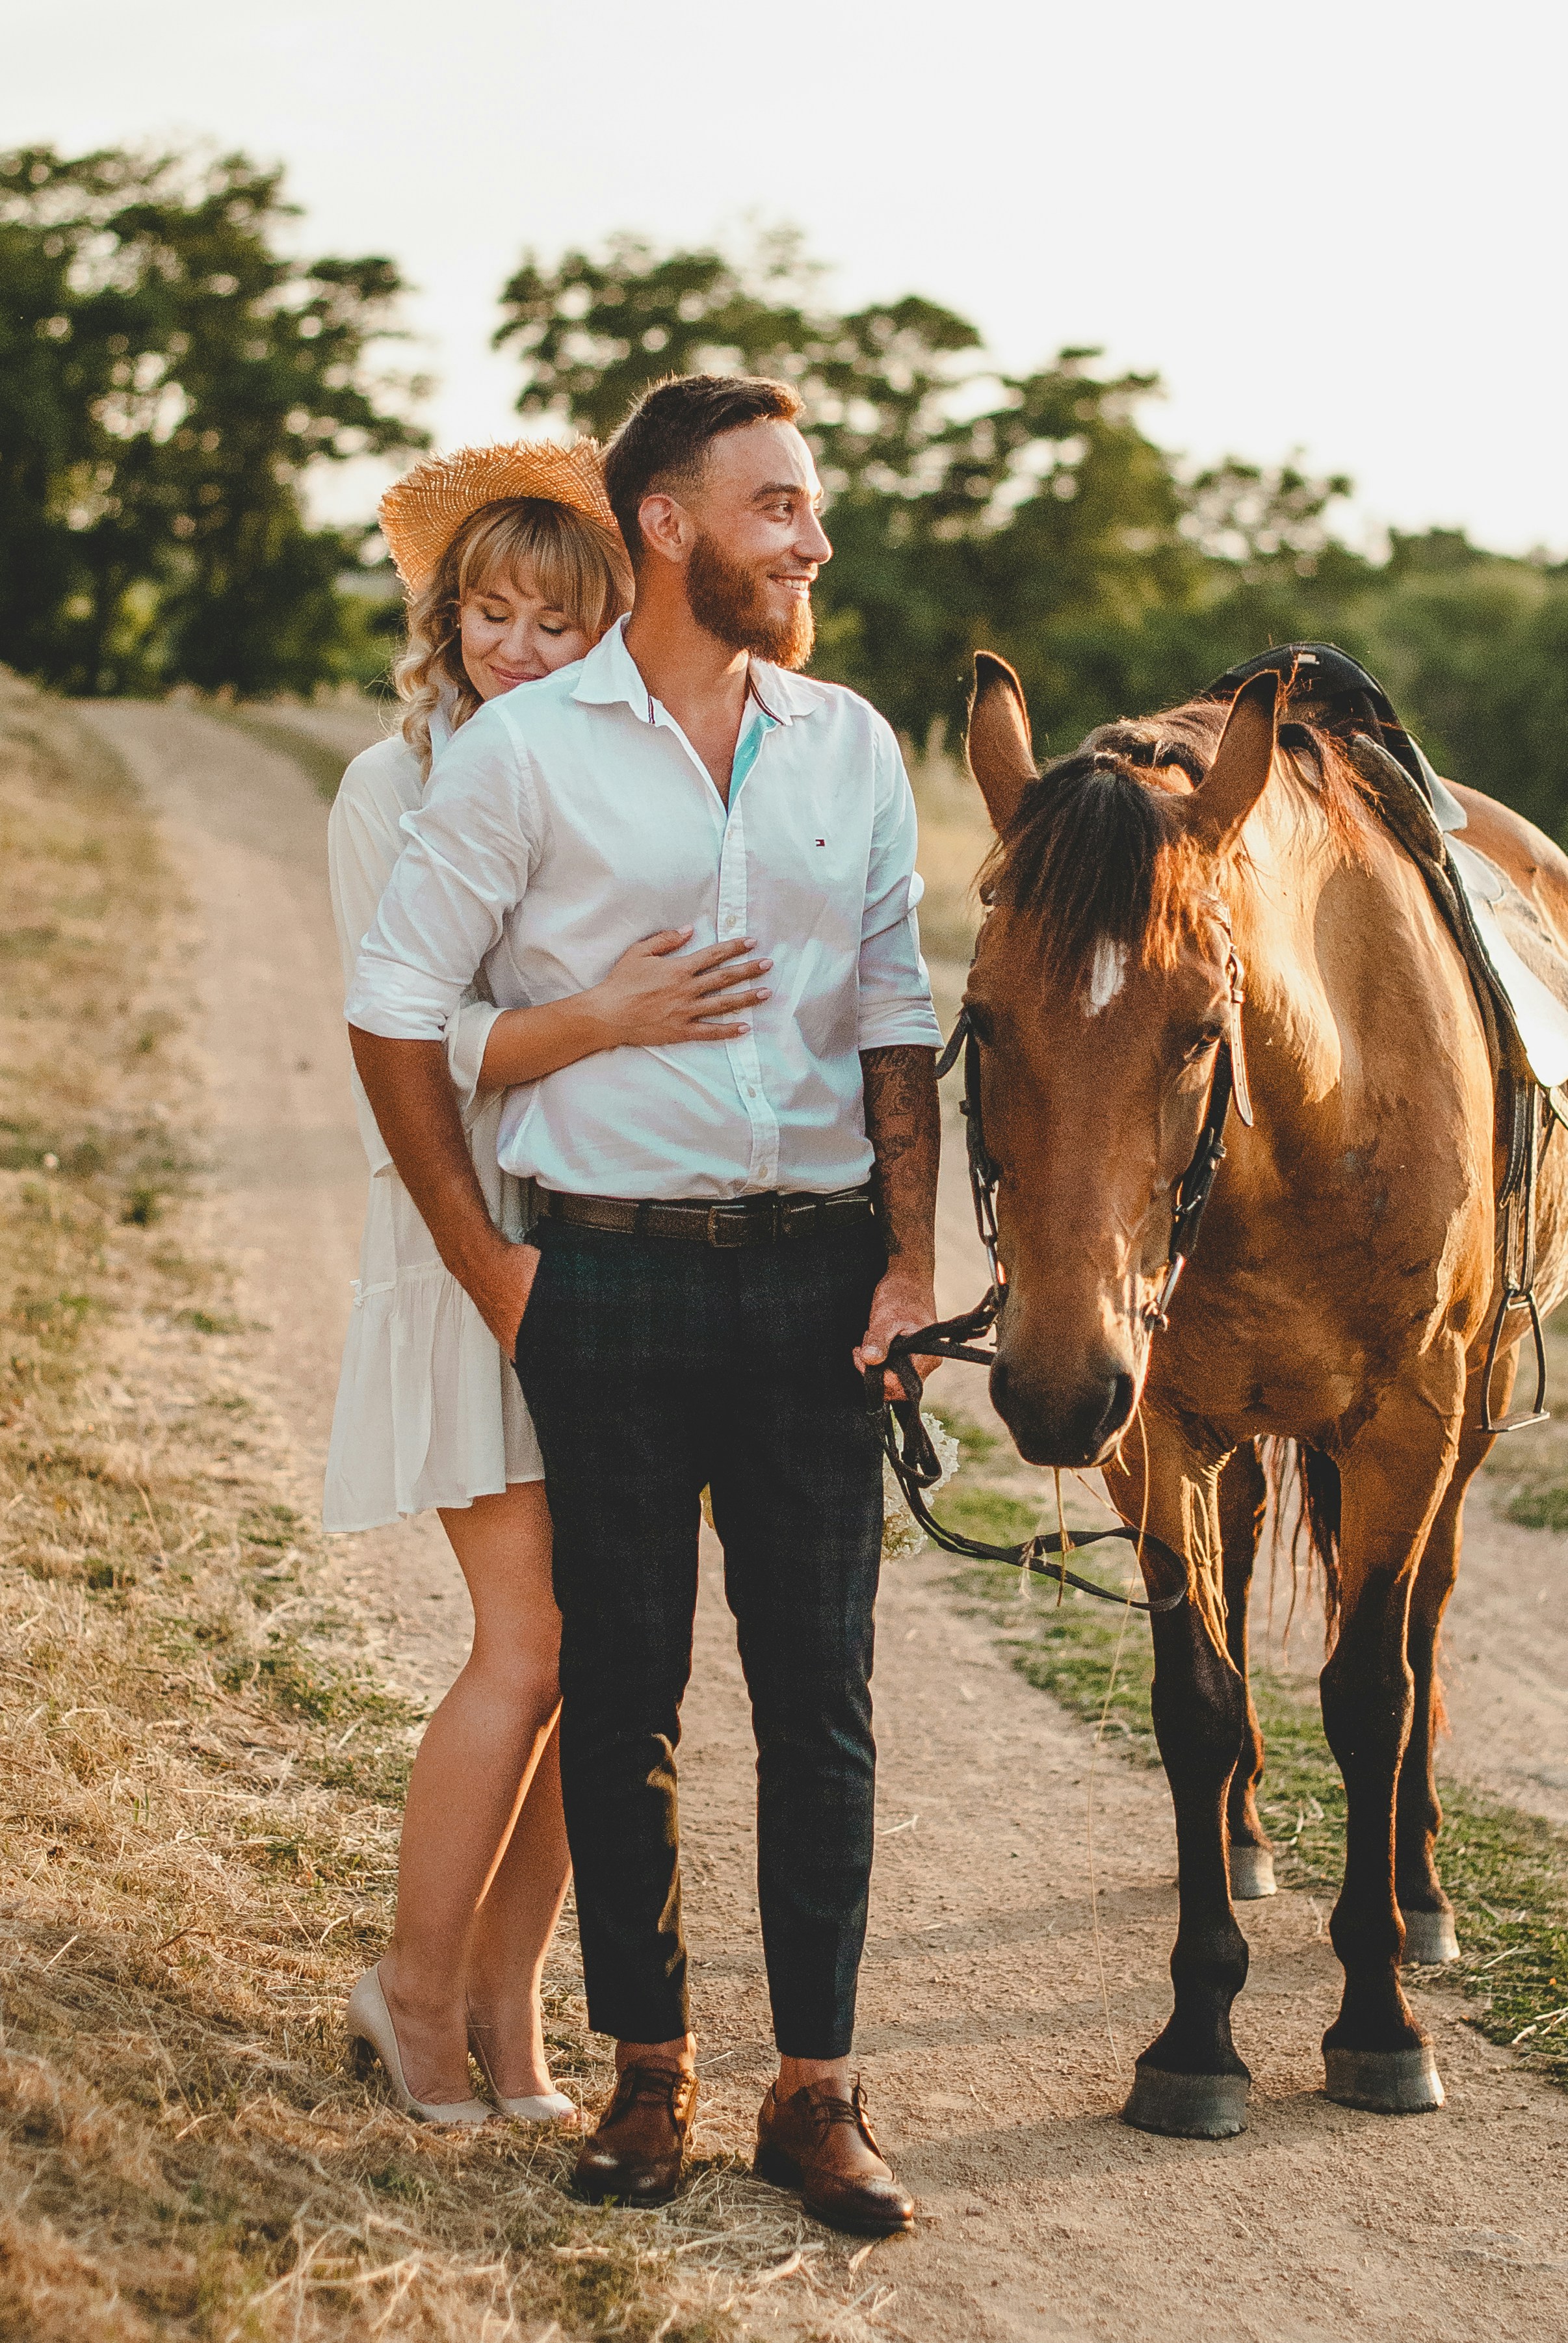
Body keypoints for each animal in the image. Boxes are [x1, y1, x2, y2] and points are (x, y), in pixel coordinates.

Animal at [961, 661, 1565, 2146]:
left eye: (1198, 1029)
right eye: (985, 1018)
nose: (1052, 1384)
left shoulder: (1408, 1421)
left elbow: (1371, 1690)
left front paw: (1379, 2019)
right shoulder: (1153, 1429)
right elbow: (1198, 1696)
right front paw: (1196, 2033)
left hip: (1463, 1421)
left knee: (1424, 1613)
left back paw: (1420, 1893)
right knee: (1237, 1576)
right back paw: (1238, 1840)